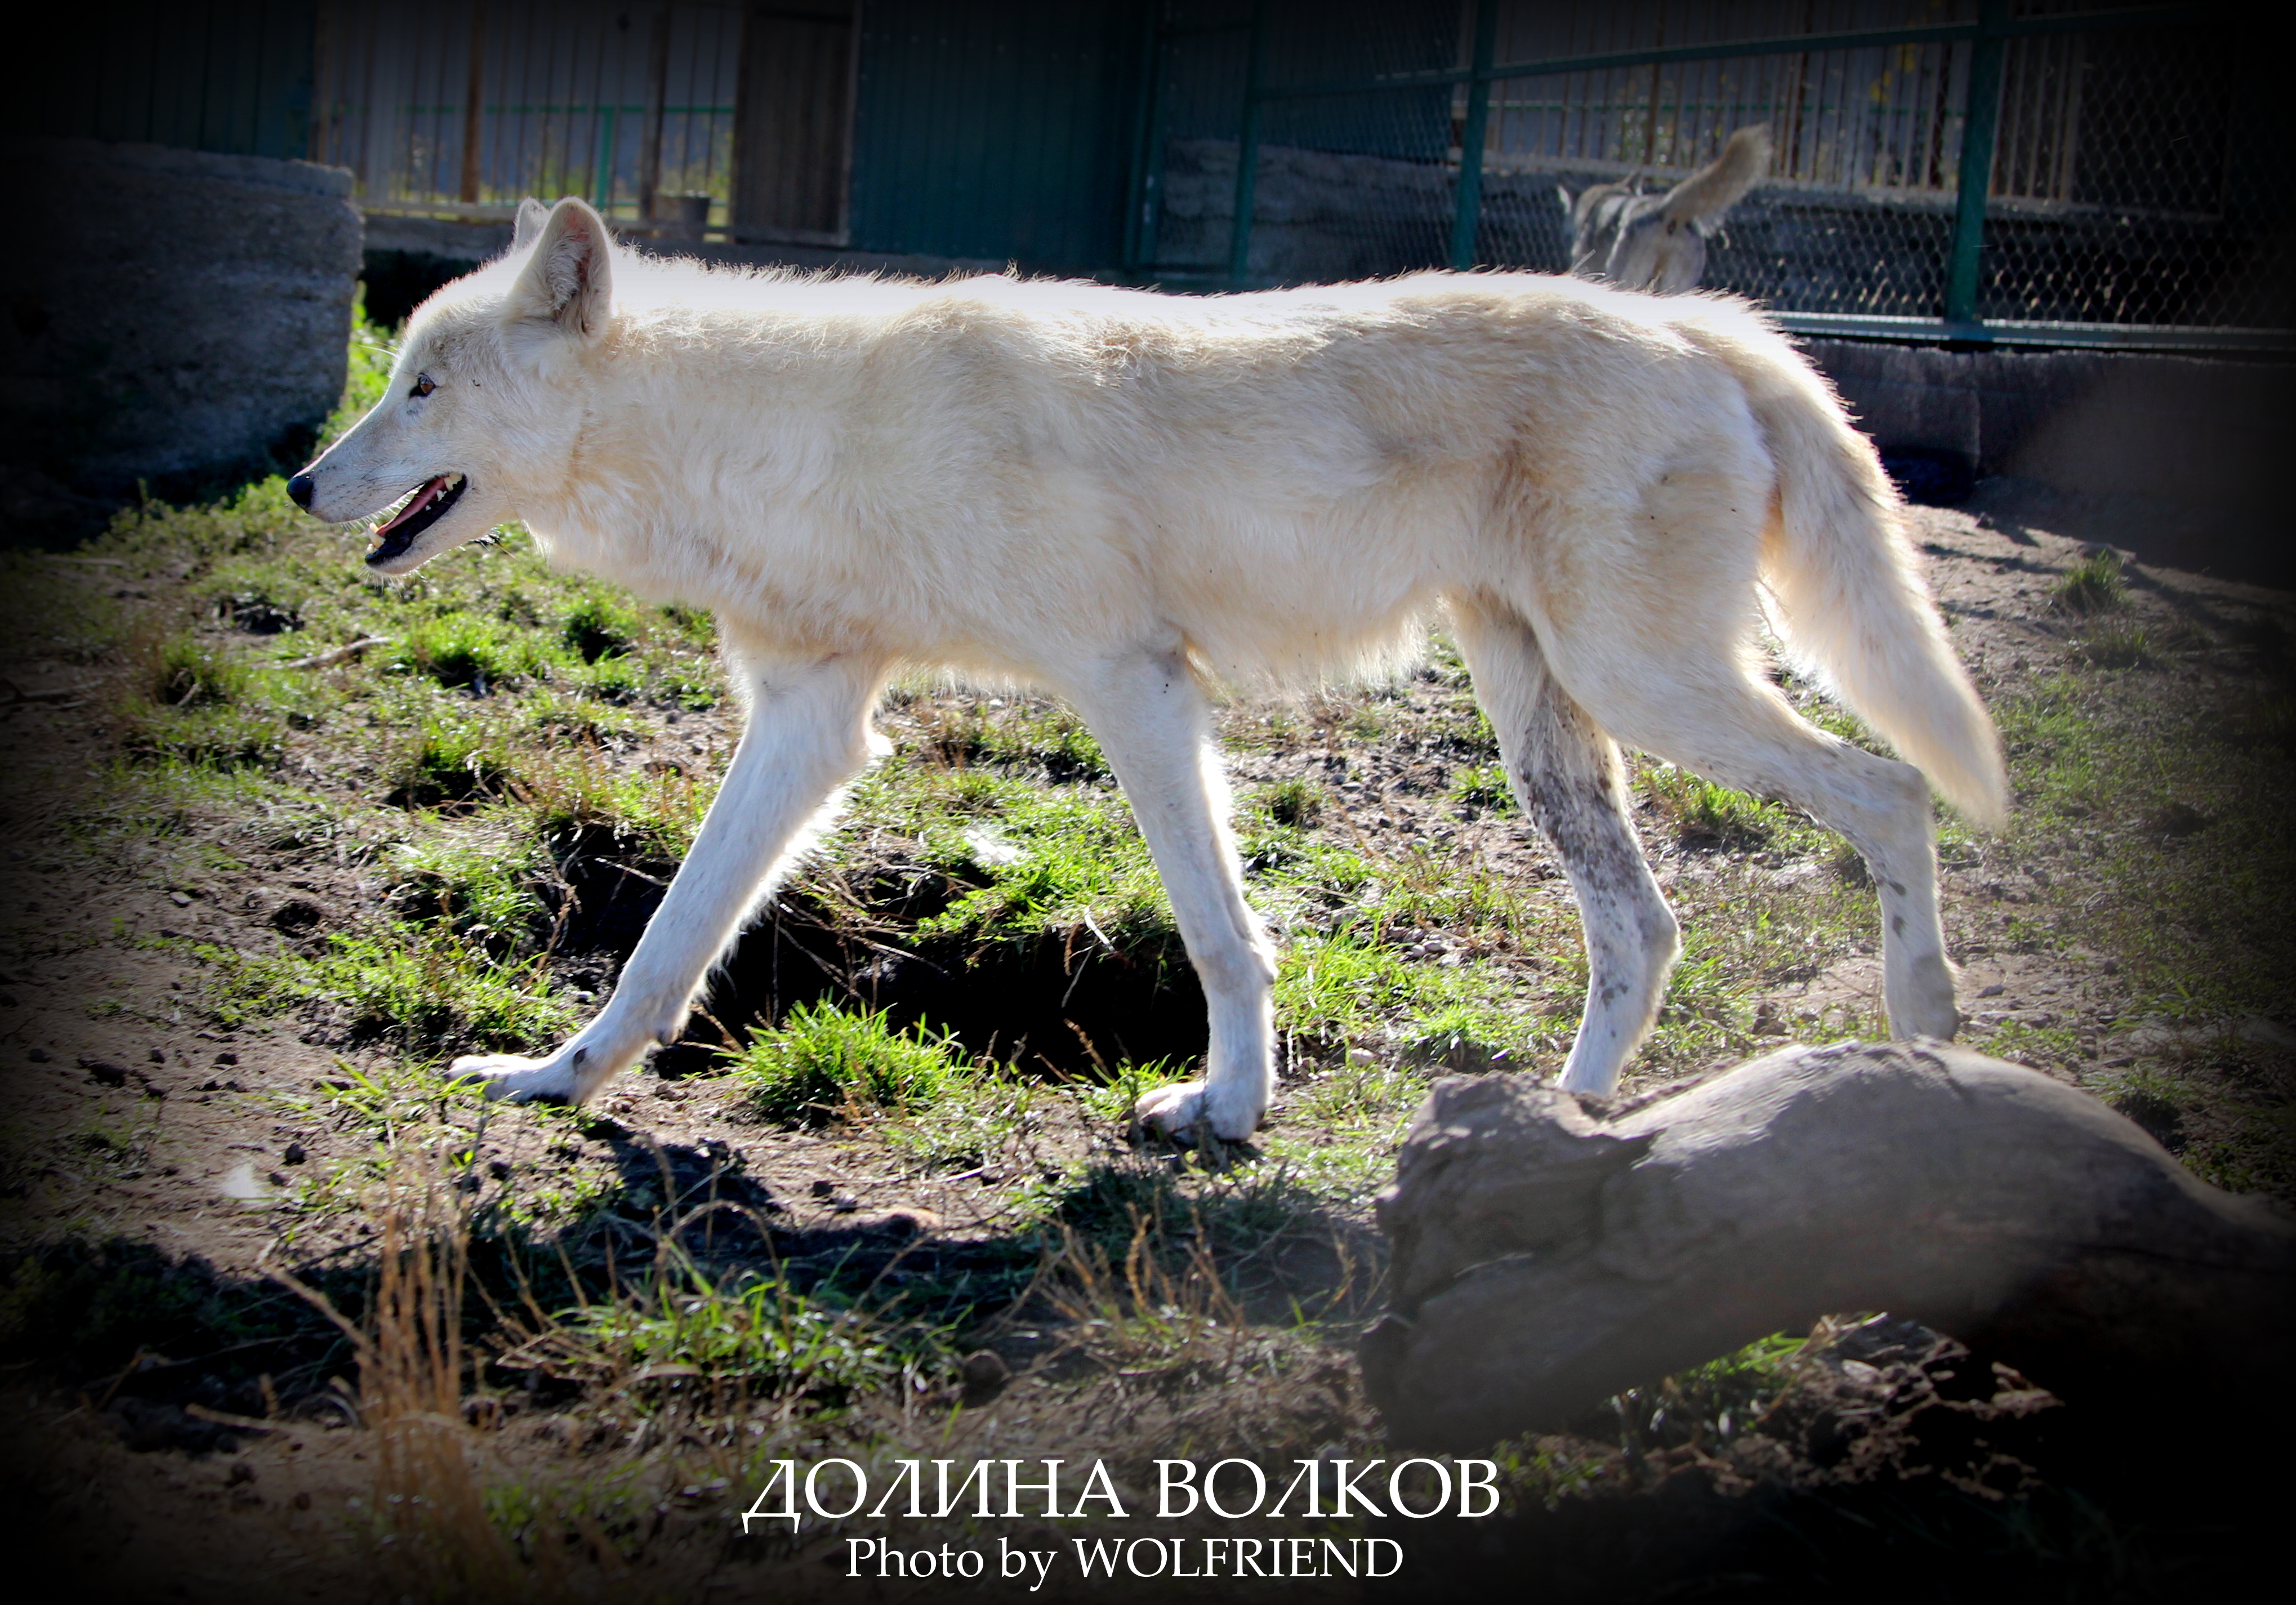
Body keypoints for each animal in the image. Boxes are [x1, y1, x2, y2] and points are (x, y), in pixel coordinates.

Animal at [287, 195, 2002, 1134]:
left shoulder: (1132, 686)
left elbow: (1219, 934)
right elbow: (664, 940)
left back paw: (1923, 1025)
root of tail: (1717, 324)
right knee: (1644, 926)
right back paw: (1574, 1121)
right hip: (1551, 725)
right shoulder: (812, 723)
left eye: (423, 388)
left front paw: (1226, 1113)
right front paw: (558, 1081)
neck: (787, 435)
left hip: (1647, 684)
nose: (302, 486)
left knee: (1892, 792)